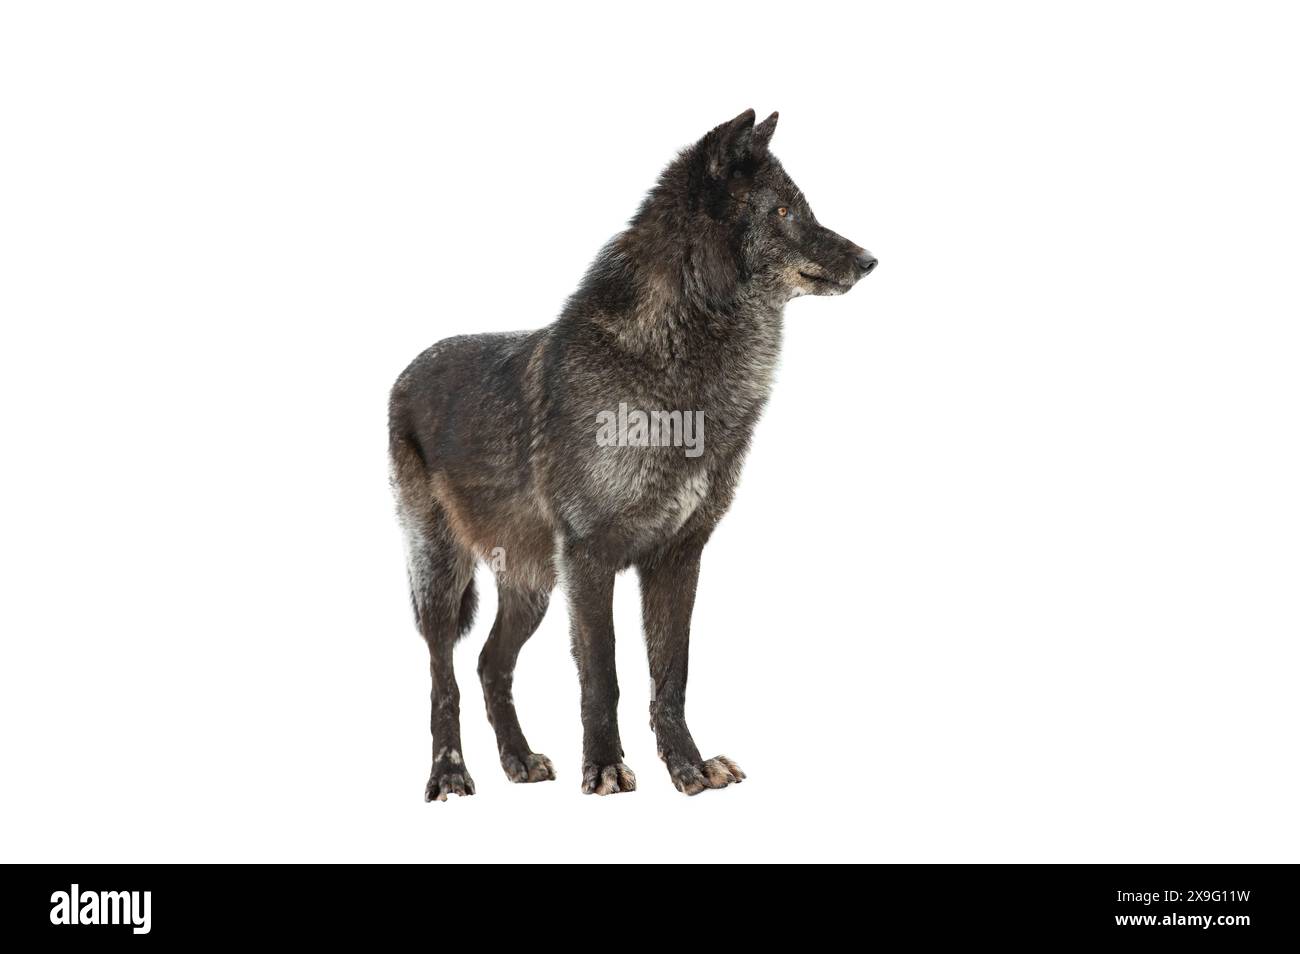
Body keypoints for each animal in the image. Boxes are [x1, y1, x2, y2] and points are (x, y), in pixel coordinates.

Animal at [389, 109, 876, 799]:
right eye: (782, 210)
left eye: (801, 207)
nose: (869, 260)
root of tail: (407, 369)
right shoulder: (589, 559)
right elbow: (603, 675)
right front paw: (605, 768)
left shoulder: (678, 556)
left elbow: (671, 675)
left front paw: (689, 767)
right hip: (440, 573)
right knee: (442, 674)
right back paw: (450, 774)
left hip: (533, 588)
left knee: (488, 665)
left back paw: (518, 760)